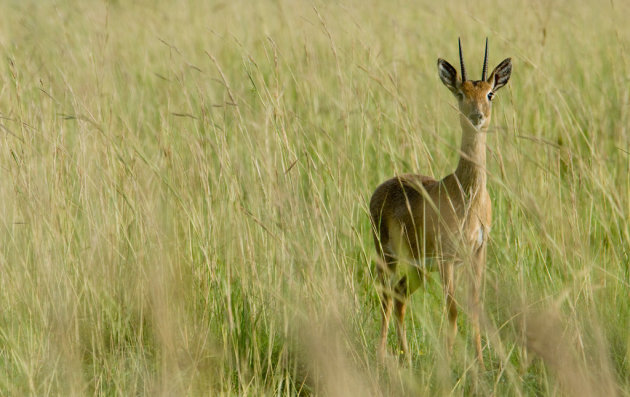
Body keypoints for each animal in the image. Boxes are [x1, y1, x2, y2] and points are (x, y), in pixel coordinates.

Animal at [370, 38, 512, 366]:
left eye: (490, 93)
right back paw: (382, 356)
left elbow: (474, 306)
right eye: (461, 93)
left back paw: (407, 357)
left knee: (399, 296)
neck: (467, 195)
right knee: (385, 295)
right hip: (387, 257)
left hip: (418, 268)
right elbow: (452, 309)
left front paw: (479, 363)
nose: (477, 116)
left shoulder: (478, 253)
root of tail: (380, 188)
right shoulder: (449, 258)